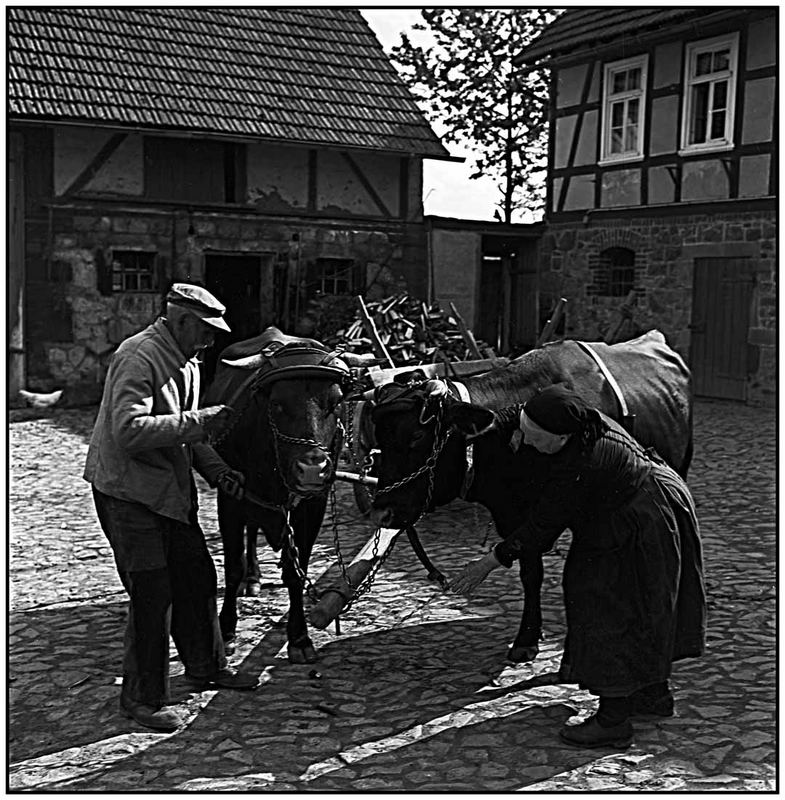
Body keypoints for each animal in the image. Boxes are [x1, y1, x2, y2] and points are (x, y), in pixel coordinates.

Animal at [204, 324, 372, 664]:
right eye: (278, 404)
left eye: (335, 403)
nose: (311, 469)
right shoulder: (230, 497)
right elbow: (232, 567)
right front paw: (226, 631)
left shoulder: (312, 506)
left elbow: (298, 572)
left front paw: (299, 637)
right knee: (251, 534)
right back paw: (253, 578)